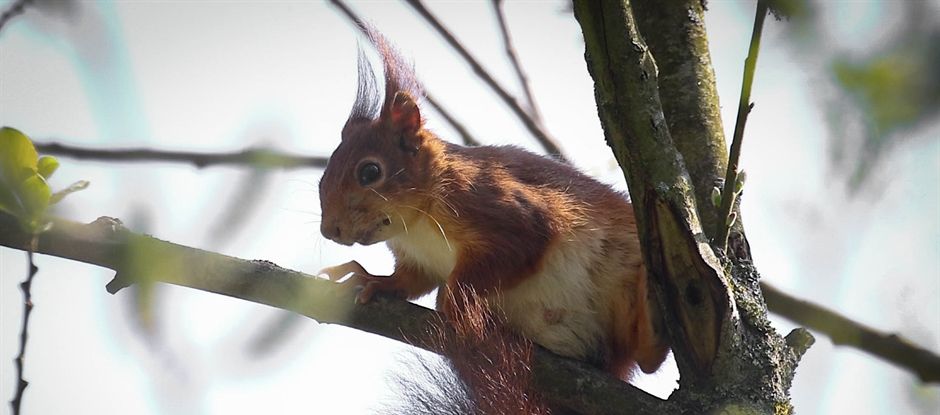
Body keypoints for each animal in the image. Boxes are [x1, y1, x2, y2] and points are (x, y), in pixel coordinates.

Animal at [317, 27, 670, 415]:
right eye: (323, 178)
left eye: (369, 172)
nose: (329, 230)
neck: (417, 225)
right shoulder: (417, 259)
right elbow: (411, 279)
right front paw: (375, 280)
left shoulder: (504, 210)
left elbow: (517, 247)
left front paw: (455, 302)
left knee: (645, 357)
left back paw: (653, 315)